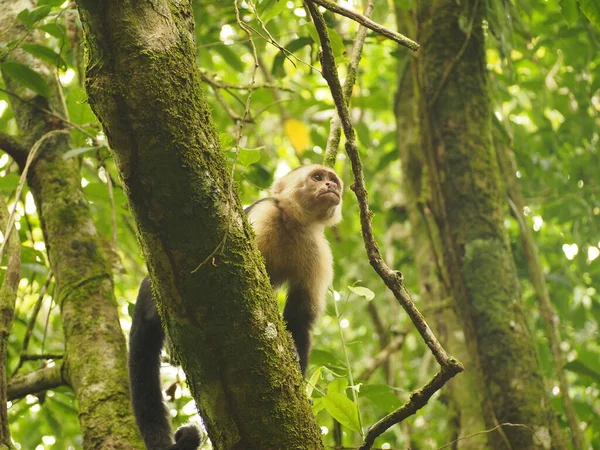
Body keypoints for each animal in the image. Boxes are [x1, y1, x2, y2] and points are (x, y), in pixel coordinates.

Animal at [127, 165, 342, 450]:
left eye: (334, 180)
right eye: (318, 177)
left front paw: (296, 365)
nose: (331, 186)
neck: (295, 222)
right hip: (155, 288)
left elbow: (300, 318)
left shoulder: (318, 250)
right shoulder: (264, 214)